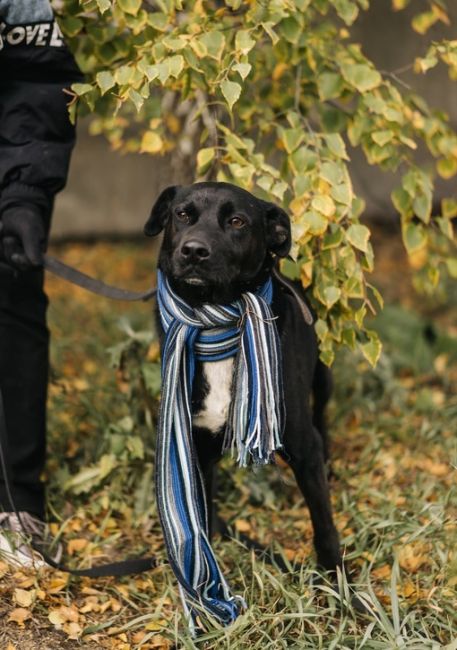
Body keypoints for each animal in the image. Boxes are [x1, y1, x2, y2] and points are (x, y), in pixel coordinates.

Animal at [144, 181, 340, 572]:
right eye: (182, 214)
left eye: (237, 221)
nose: (193, 250)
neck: (215, 320)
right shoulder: (194, 444)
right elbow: (200, 518)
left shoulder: (302, 445)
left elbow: (323, 523)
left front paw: (339, 578)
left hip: (323, 379)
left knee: (322, 417)